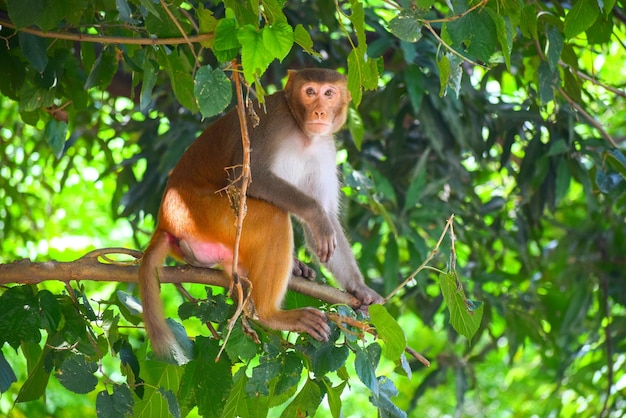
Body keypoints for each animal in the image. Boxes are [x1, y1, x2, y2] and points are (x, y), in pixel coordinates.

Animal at [140, 68, 382, 360]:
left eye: (329, 93)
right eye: (310, 91)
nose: (320, 111)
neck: (303, 134)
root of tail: (165, 220)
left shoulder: (325, 148)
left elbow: (326, 224)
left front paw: (360, 289)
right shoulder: (272, 121)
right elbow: (248, 178)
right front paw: (316, 216)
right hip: (204, 215)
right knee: (273, 217)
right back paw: (269, 314)